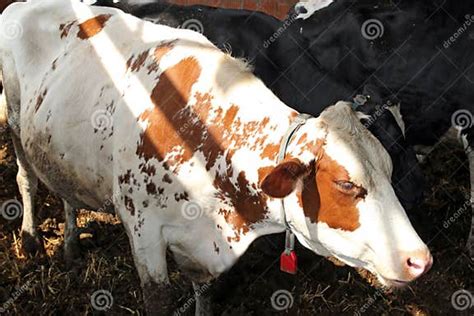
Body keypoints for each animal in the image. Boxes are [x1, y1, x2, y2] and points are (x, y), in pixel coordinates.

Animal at [0, 0, 430, 314]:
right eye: (346, 183)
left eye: (390, 168)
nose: (419, 259)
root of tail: (22, 5)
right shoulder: (143, 231)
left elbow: (203, 293)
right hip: (15, 118)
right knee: (27, 179)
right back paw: (32, 239)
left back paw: (71, 245)